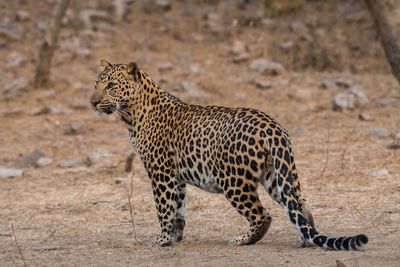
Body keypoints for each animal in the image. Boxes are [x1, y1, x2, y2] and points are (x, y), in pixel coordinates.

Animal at [90, 60, 368, 251]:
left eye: (111, 86)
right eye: (96, 85)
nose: (92, 102)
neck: (130, 114)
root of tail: (273, 126)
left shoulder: (161, 172)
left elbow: (164, 207)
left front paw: (162, 239)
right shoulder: (177, 176)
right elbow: (178, 208)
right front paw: (176, 238)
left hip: (233, 180)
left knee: (263, 215)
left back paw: (242, 239)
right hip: (276, 174)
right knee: (300, 205)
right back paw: (305, 239)